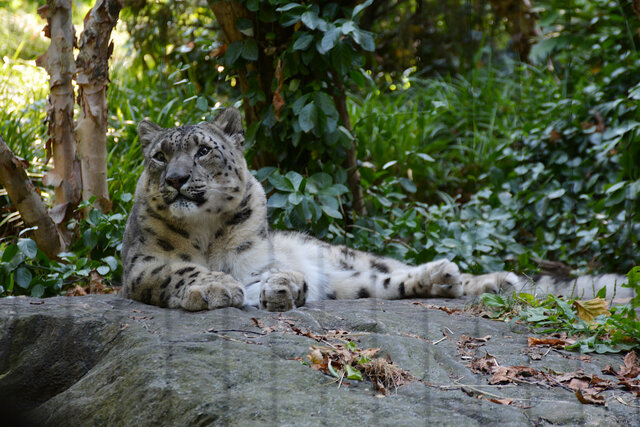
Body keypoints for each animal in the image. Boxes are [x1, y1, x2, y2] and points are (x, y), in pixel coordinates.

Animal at [120, 108, 632, 312]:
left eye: (203, 150)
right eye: (160, 156)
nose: (176, 180)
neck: (206, 231)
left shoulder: (256, 260)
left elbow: (268, 274)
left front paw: (282, 287)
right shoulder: (144, 263)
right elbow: (181, 270)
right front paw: (216, 287)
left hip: (350, 257)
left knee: (392, 268)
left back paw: (479, 277)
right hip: (357, 285)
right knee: (387, 284)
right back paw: (442, 279)